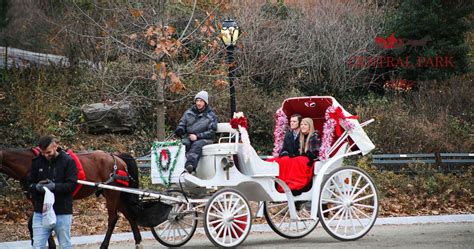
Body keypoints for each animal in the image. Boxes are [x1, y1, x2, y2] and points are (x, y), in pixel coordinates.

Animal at [0, 148, 143, 249]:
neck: (28, 164)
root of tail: (117, 157)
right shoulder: (39, 201)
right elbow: (36, 223)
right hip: (113, 193)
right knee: (129, 214)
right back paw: (138, 241)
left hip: (111, 193)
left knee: (113, 218)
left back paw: (104, 245)